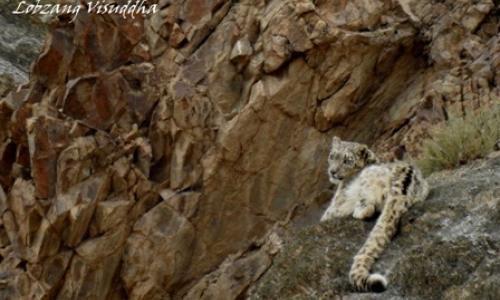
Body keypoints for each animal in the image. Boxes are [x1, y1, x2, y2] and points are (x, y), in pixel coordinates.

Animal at [320, 136, 430, 292]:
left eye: (347, 160)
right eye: (332, 156)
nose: (332, 172)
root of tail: (403, 183)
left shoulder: (335, 204)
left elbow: (325, 216)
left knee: (369, 207)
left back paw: (358, 211)